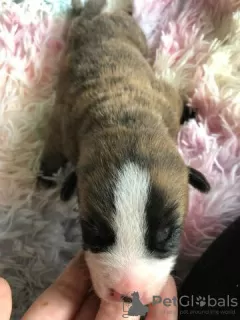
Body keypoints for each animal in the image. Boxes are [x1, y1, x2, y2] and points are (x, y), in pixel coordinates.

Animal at [39, 0, 210, 306]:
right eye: (93, 231)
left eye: (167, 234)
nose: (127, 293)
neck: (122, 118)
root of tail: (106, 9)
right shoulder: (63, 123)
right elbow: (54, 145)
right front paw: (47, 174)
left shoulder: (167, 100)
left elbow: (176, 99)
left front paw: (189, 112)